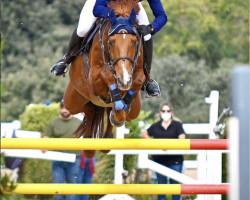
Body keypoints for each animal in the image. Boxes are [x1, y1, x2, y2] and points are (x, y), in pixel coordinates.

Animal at [63, 0, 145, 158]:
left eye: (134, 42)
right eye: (111, 42)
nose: (124, 79)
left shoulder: (137, 72)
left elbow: (139, 79)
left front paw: (122, 107)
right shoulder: (93, 78)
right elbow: (107, 74)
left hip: (135, 110)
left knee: (105, 110)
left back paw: (108, 136)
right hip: (72, 102)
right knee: (90, 110)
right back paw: (89, 145)